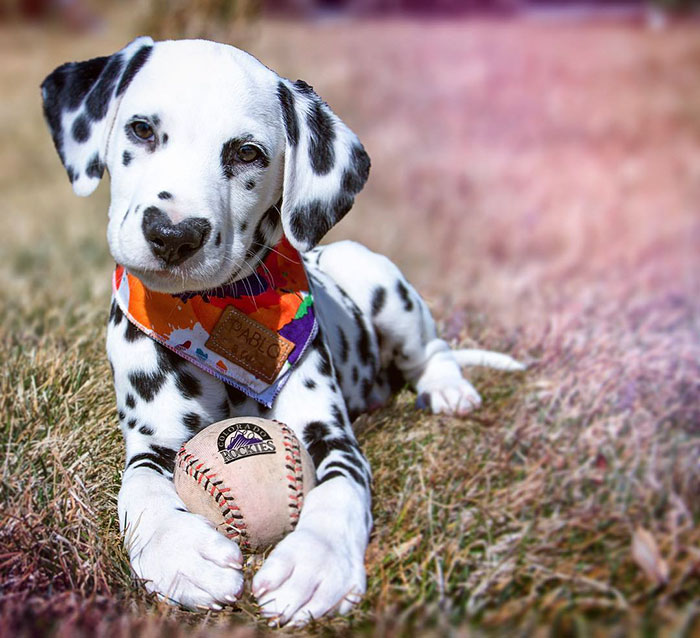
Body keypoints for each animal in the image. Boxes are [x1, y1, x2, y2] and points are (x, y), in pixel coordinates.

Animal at [39, 37, 520, 628]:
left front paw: (316, 565)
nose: (173, 234)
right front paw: (180, 552)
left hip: (380, 282)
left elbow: (340, 487)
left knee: (433, 347)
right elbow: (142, 488)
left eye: (248, 153)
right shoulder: (154, 439)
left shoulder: (328, 434)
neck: (217, 319)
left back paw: (448, 387)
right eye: (142, 130)